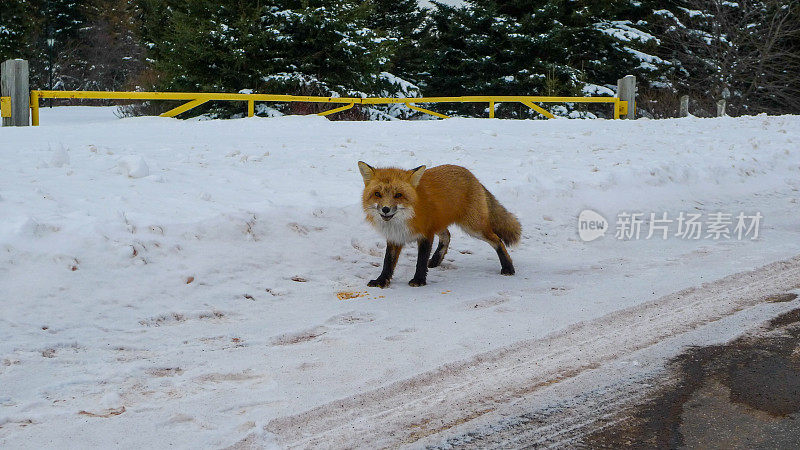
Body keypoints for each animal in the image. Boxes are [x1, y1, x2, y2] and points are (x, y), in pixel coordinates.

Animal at [358, 163, 520, 288]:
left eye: (398, 195)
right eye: (377, 194)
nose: (385, 209)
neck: (402, 220)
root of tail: (470, 173)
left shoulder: (426, 234)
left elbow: (421, 260)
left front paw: (419, 280)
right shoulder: (395, 237)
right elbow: (388, 262)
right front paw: (381, 280)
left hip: (474, 227)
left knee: (497, 240)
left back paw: (508, 267)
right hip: (440, 223)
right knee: (447, 235)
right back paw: (436, 260)